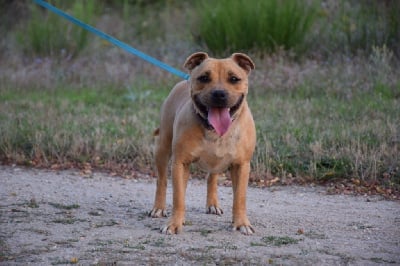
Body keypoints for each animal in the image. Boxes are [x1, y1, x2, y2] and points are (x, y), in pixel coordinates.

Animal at [148, 52, 256, 235]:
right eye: (204, 78)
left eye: (234, 79)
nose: (219, 93)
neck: (213, 130)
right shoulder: (180, 163)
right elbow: (178, 197)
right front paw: (174, 223)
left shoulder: (241, 165)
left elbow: (240, 198)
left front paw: (241, 223)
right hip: (162, 149)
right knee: (162, 180)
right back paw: (159, 208)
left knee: (211, 178)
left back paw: (212, 204)